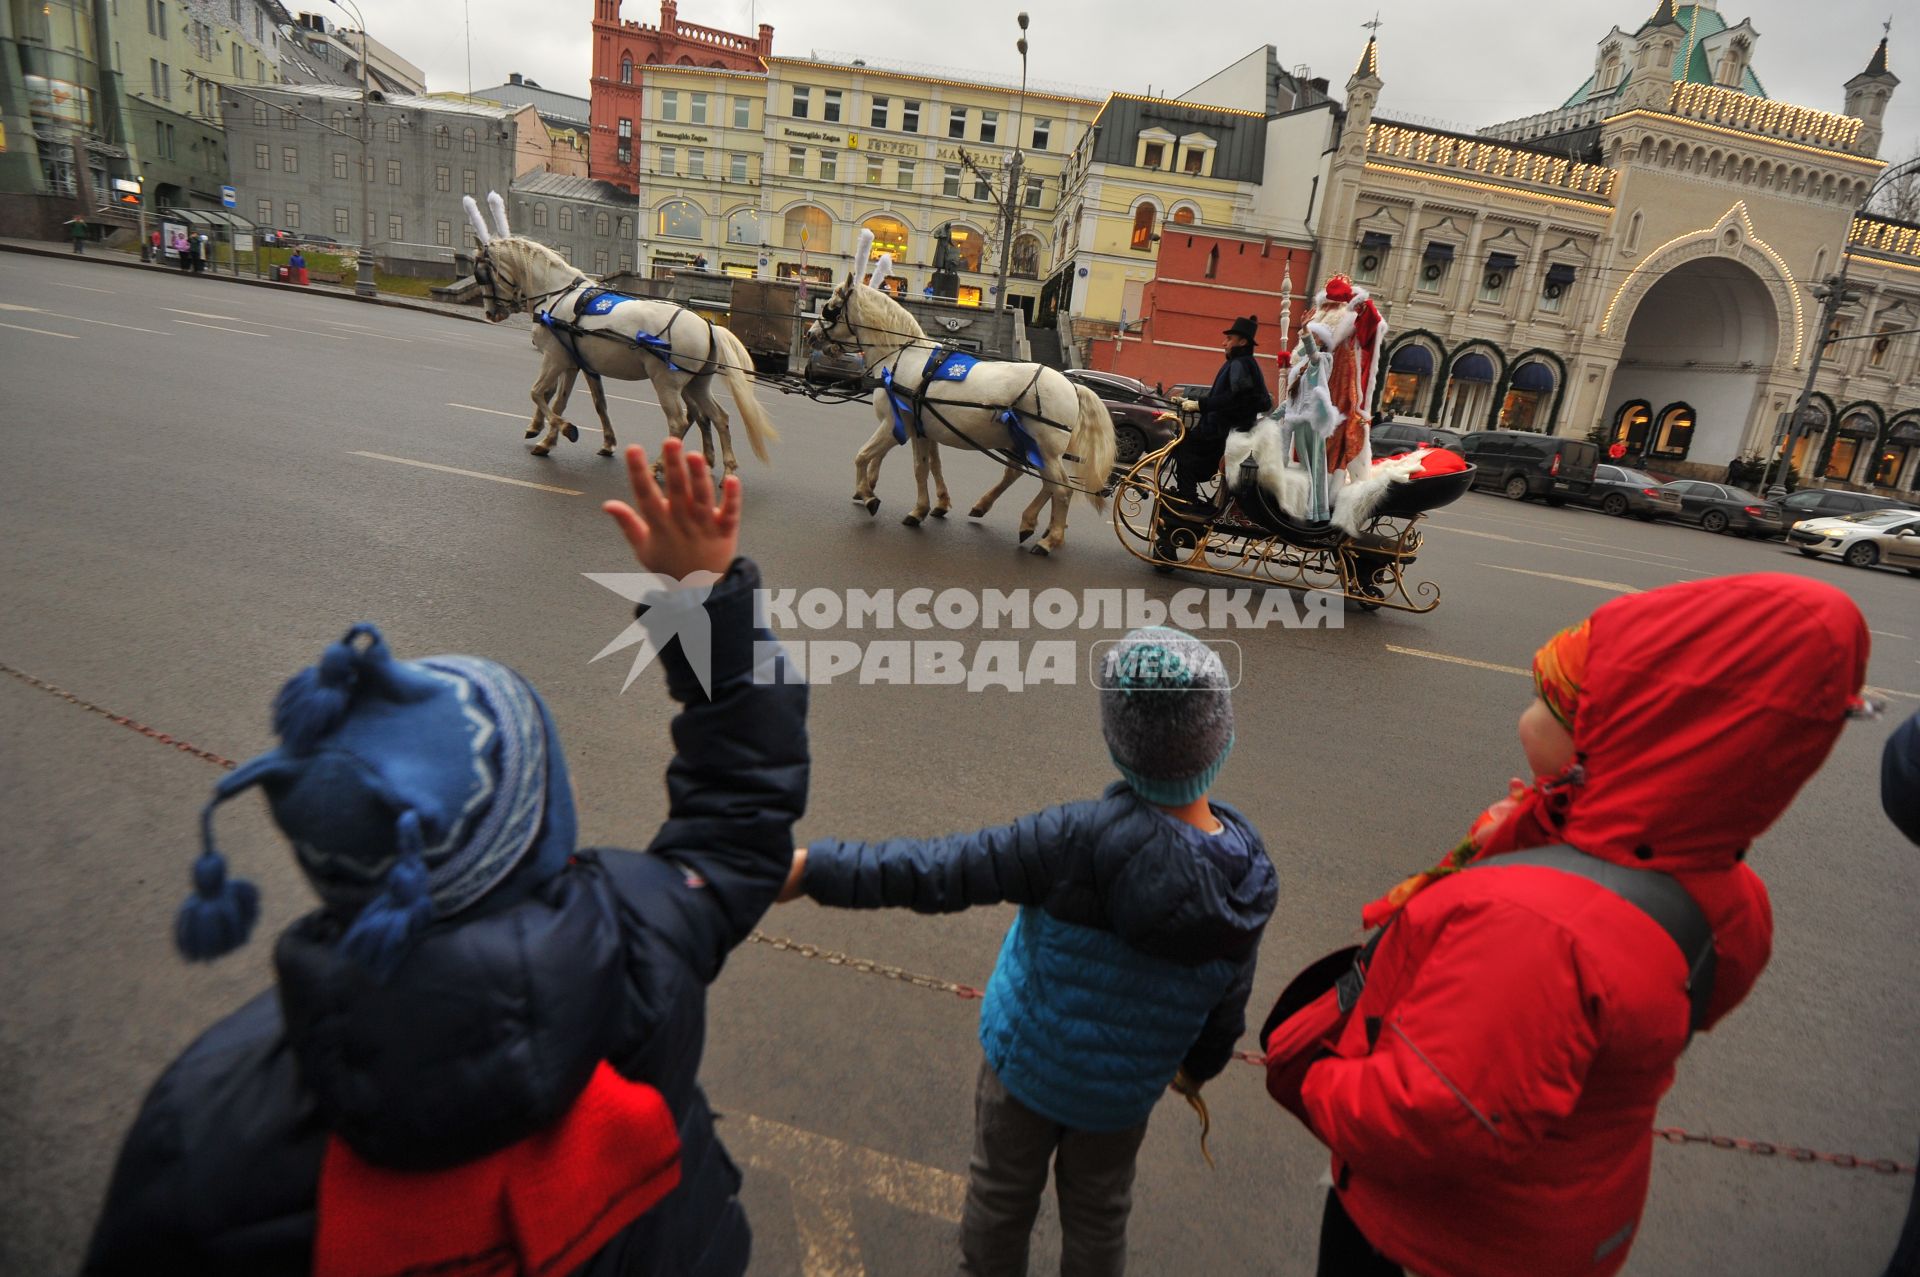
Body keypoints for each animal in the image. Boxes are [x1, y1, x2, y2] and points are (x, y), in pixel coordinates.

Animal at [460, 192, 768, 466]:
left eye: (481, 274)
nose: (491, 313)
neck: (558, 294)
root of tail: (707, 325)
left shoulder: (555, 358)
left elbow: (538, 392)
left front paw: (564, 429)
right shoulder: (577, 364)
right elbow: (581, 402)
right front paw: (559, 438)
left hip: (666, 383)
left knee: (680, 421)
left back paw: (660, 465)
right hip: (697, 383)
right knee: (718, 417)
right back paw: (724, 466)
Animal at [806, 263, 1113, 553]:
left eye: (831, 308)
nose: (810, 335)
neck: (901, 355)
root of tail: (1071, 385)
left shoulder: (896, 425)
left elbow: (864, 456)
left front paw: (869, 494)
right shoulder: (923, 431)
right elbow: (926, 467)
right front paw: (925, 507)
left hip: (1044, 450)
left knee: (1060, 490)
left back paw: (1049, 539)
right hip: (1026, 445)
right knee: (1040, 482)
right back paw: (1018, 518)